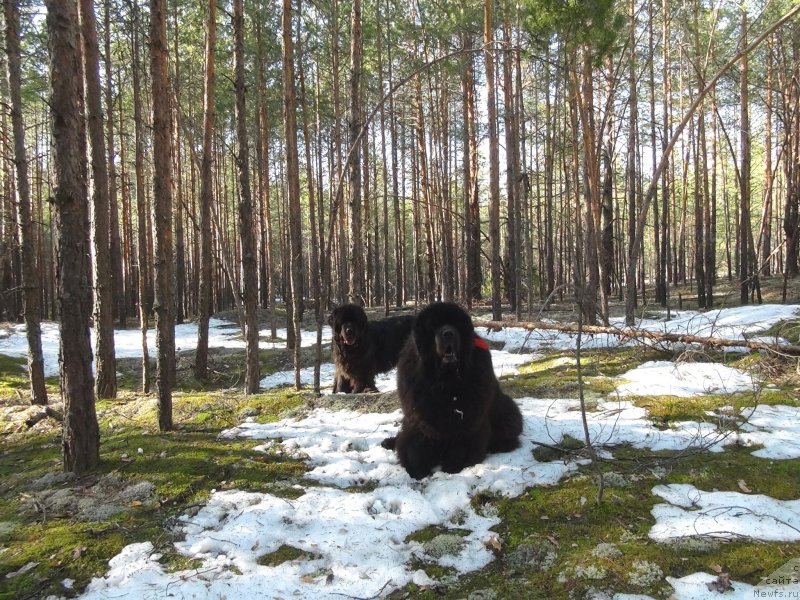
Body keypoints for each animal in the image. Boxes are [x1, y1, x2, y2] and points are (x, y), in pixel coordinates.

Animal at [382, 302, 524, 480]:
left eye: (455, 324)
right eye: (434, 326)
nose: (448, 333)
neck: (445, 381)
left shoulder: (468, 422)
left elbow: (461, 444)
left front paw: (452, 466)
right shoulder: (418, 418)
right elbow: (414, 446)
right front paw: (417, 469)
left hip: (508, 411)